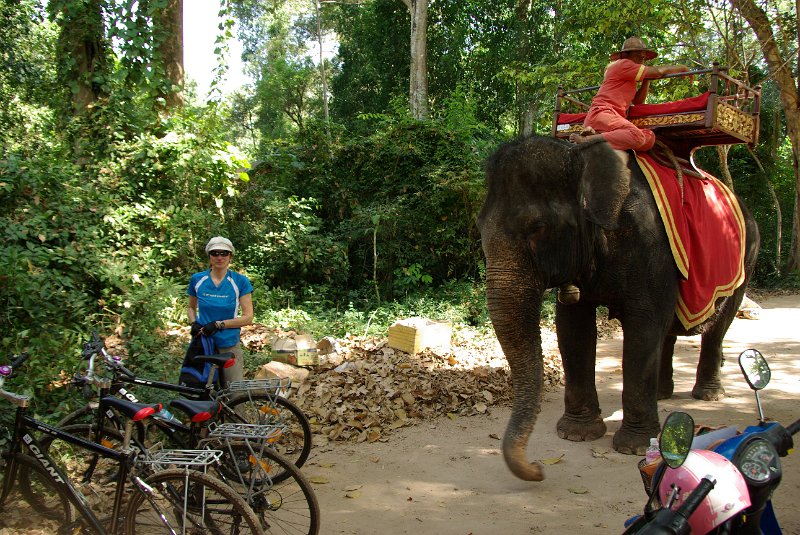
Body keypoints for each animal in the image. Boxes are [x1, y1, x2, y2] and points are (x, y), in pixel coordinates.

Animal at [478, 134, 760, 482]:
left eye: (537, 227)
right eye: (479, 226)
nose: (539, 468)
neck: (580, 154)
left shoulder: (650, 243)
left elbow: (643, 327)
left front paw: (634, 447)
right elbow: (573, 327)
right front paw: (577, 434)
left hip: (746, 259)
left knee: (717, 326)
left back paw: (708, 395)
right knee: (669, 328)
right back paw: (662, 394)